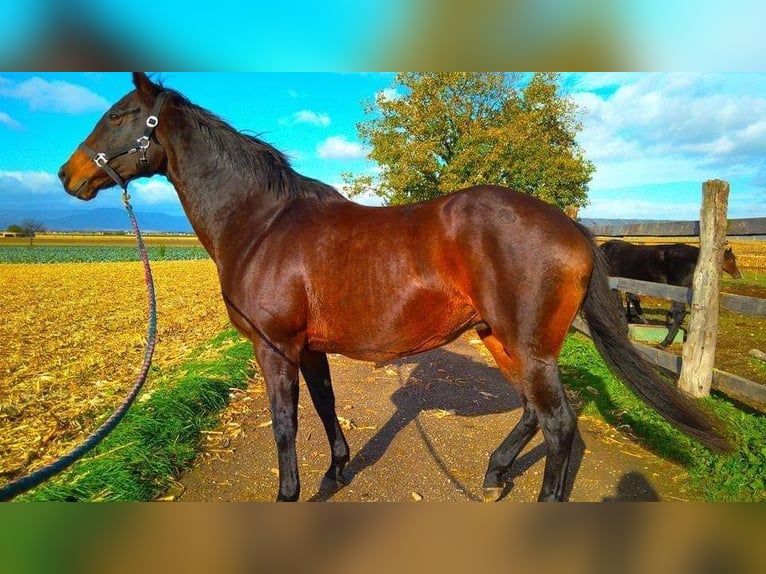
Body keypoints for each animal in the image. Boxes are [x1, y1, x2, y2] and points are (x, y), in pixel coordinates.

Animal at [57, 74, 728, 502]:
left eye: (117, 115)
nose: (68, 174)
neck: (262, 223)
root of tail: (576, 231)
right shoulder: (310, 348)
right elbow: (325, 407)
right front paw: (336, 473)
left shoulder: (274, 348)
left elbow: (285, 426)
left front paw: (291, 494)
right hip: (503, 339)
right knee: (537, 416)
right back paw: (495, 474)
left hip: (528, 346)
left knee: (560, 425)